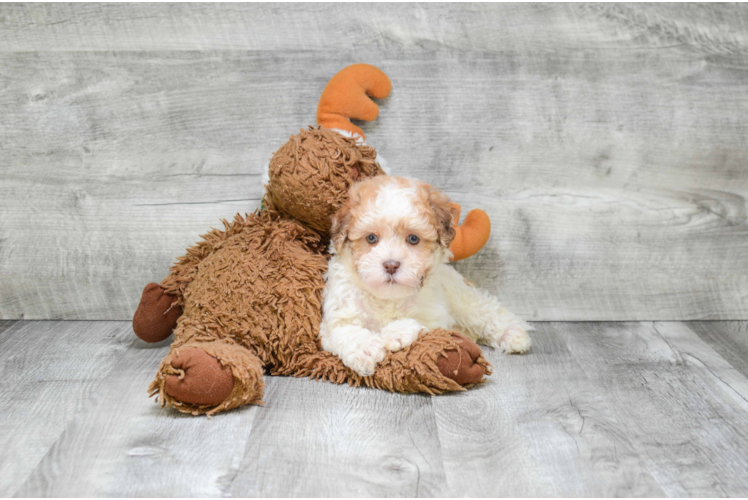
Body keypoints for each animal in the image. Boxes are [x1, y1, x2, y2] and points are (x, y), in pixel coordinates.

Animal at [318, 176, 528, 376]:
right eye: (371, 238)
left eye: (413, 239)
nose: (391, 265)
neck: (388, 297)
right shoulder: (338, 315)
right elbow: (345, 330)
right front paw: (365, 349)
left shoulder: (436, 316)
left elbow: (420, 324)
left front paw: (395, 332)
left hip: (462, 298)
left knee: (487, 310)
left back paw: (514, 334)